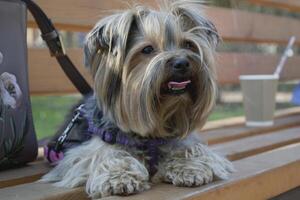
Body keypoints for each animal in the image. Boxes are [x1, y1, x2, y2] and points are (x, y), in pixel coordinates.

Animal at [41, 0, 234, 198]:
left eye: (188, 44)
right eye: (147, 49)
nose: (181, 63)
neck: (152, 134)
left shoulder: (182, 140)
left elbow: (189, 149)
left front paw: (190, 167)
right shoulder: (91, 147)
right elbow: (107, 154)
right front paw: (119, 177)